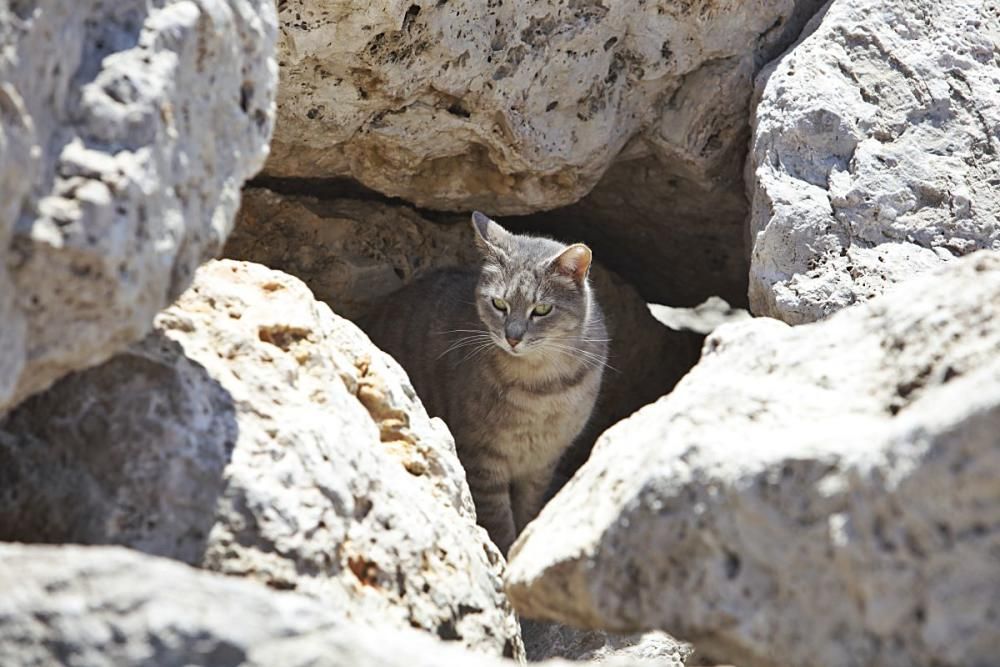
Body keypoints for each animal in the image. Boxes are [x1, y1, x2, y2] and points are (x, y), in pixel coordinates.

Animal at [362, 211, 608, 556]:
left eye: (542, 309)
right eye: (499, 304)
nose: (513, 337)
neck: (542, 387)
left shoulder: (543, 462)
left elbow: (529, 508)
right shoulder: (481, 458)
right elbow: (500, 521)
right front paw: (506, 552)